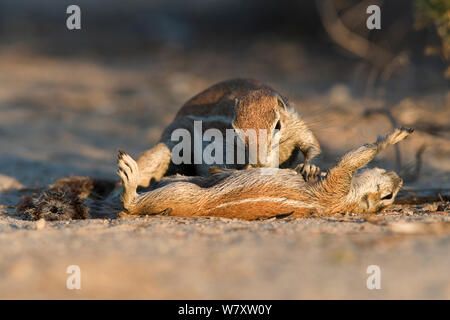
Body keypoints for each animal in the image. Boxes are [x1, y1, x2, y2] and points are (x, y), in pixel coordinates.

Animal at [118, 127, 414, 220]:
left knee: (132, 204)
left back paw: (129, 175)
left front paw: (394, 136)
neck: (347, 199)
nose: (400, 179)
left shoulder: (338, 182)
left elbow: (355, 157)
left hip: (183, 196)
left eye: (387, 197)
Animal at [136, 78, 320, 186]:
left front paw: (310, 167)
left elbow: (311, 143)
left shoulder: (295, 122)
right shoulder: (218, 139)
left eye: (278, 126)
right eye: (237, 132)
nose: (259, 162)